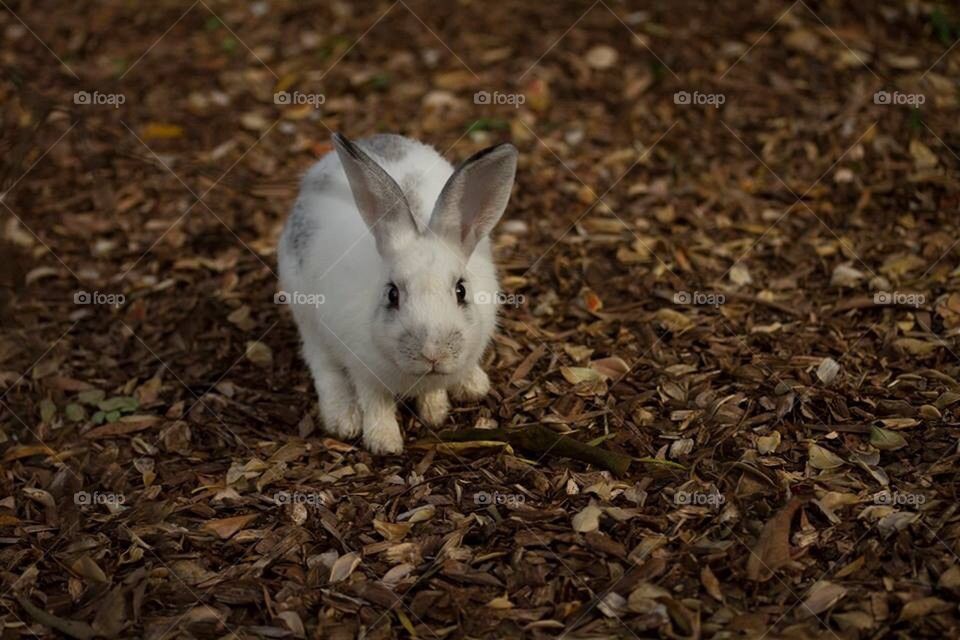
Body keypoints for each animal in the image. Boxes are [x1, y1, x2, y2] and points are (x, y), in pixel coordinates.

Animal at [278, 133, 518, 454]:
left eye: (461, 290)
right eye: (392, 294)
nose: (432, 353)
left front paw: (435, 412)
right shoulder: (363, 368)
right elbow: (375, 402)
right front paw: (384, 442)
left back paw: (473, 384)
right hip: (306, 313)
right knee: (320, 362)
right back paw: (342, 418)